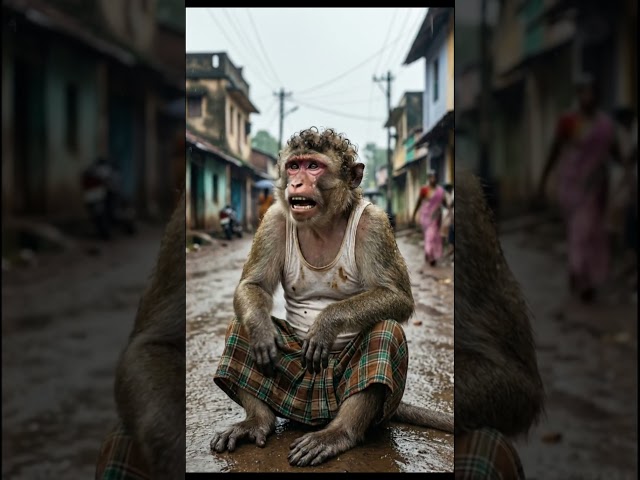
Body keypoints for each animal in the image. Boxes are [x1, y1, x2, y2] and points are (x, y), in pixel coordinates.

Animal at [211, 127, 453, 468]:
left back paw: (339, 433)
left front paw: (326, 324)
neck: (323, 223)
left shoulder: (376, 223)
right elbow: (254, 285)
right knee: (240, 327)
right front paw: (261, 333)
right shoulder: (273, 218)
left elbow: (397, 297)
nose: (297, 183)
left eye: (314, 166)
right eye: (294, 166)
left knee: (385, 332)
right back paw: (258, 420)